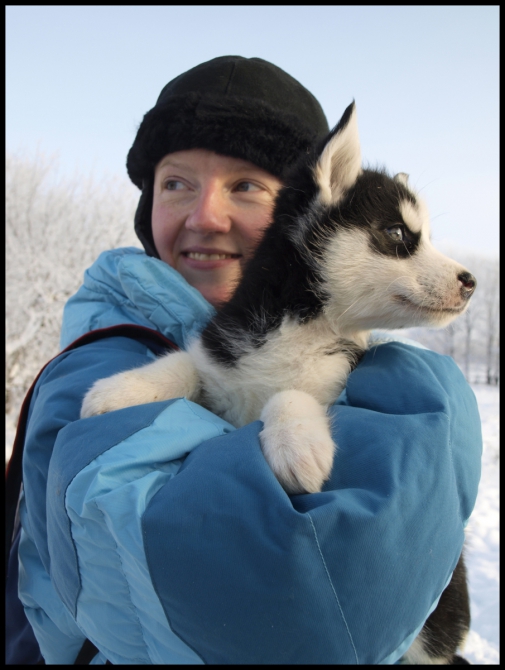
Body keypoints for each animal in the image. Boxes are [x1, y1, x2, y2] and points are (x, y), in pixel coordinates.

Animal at [80, 102, 474, 664]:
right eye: (399, 234)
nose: (472, 281)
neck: (304, 324)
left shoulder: (337, 375)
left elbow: (292, 393)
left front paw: (298, 444)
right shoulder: (224, 354)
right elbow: (189, 363)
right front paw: (121, 389)